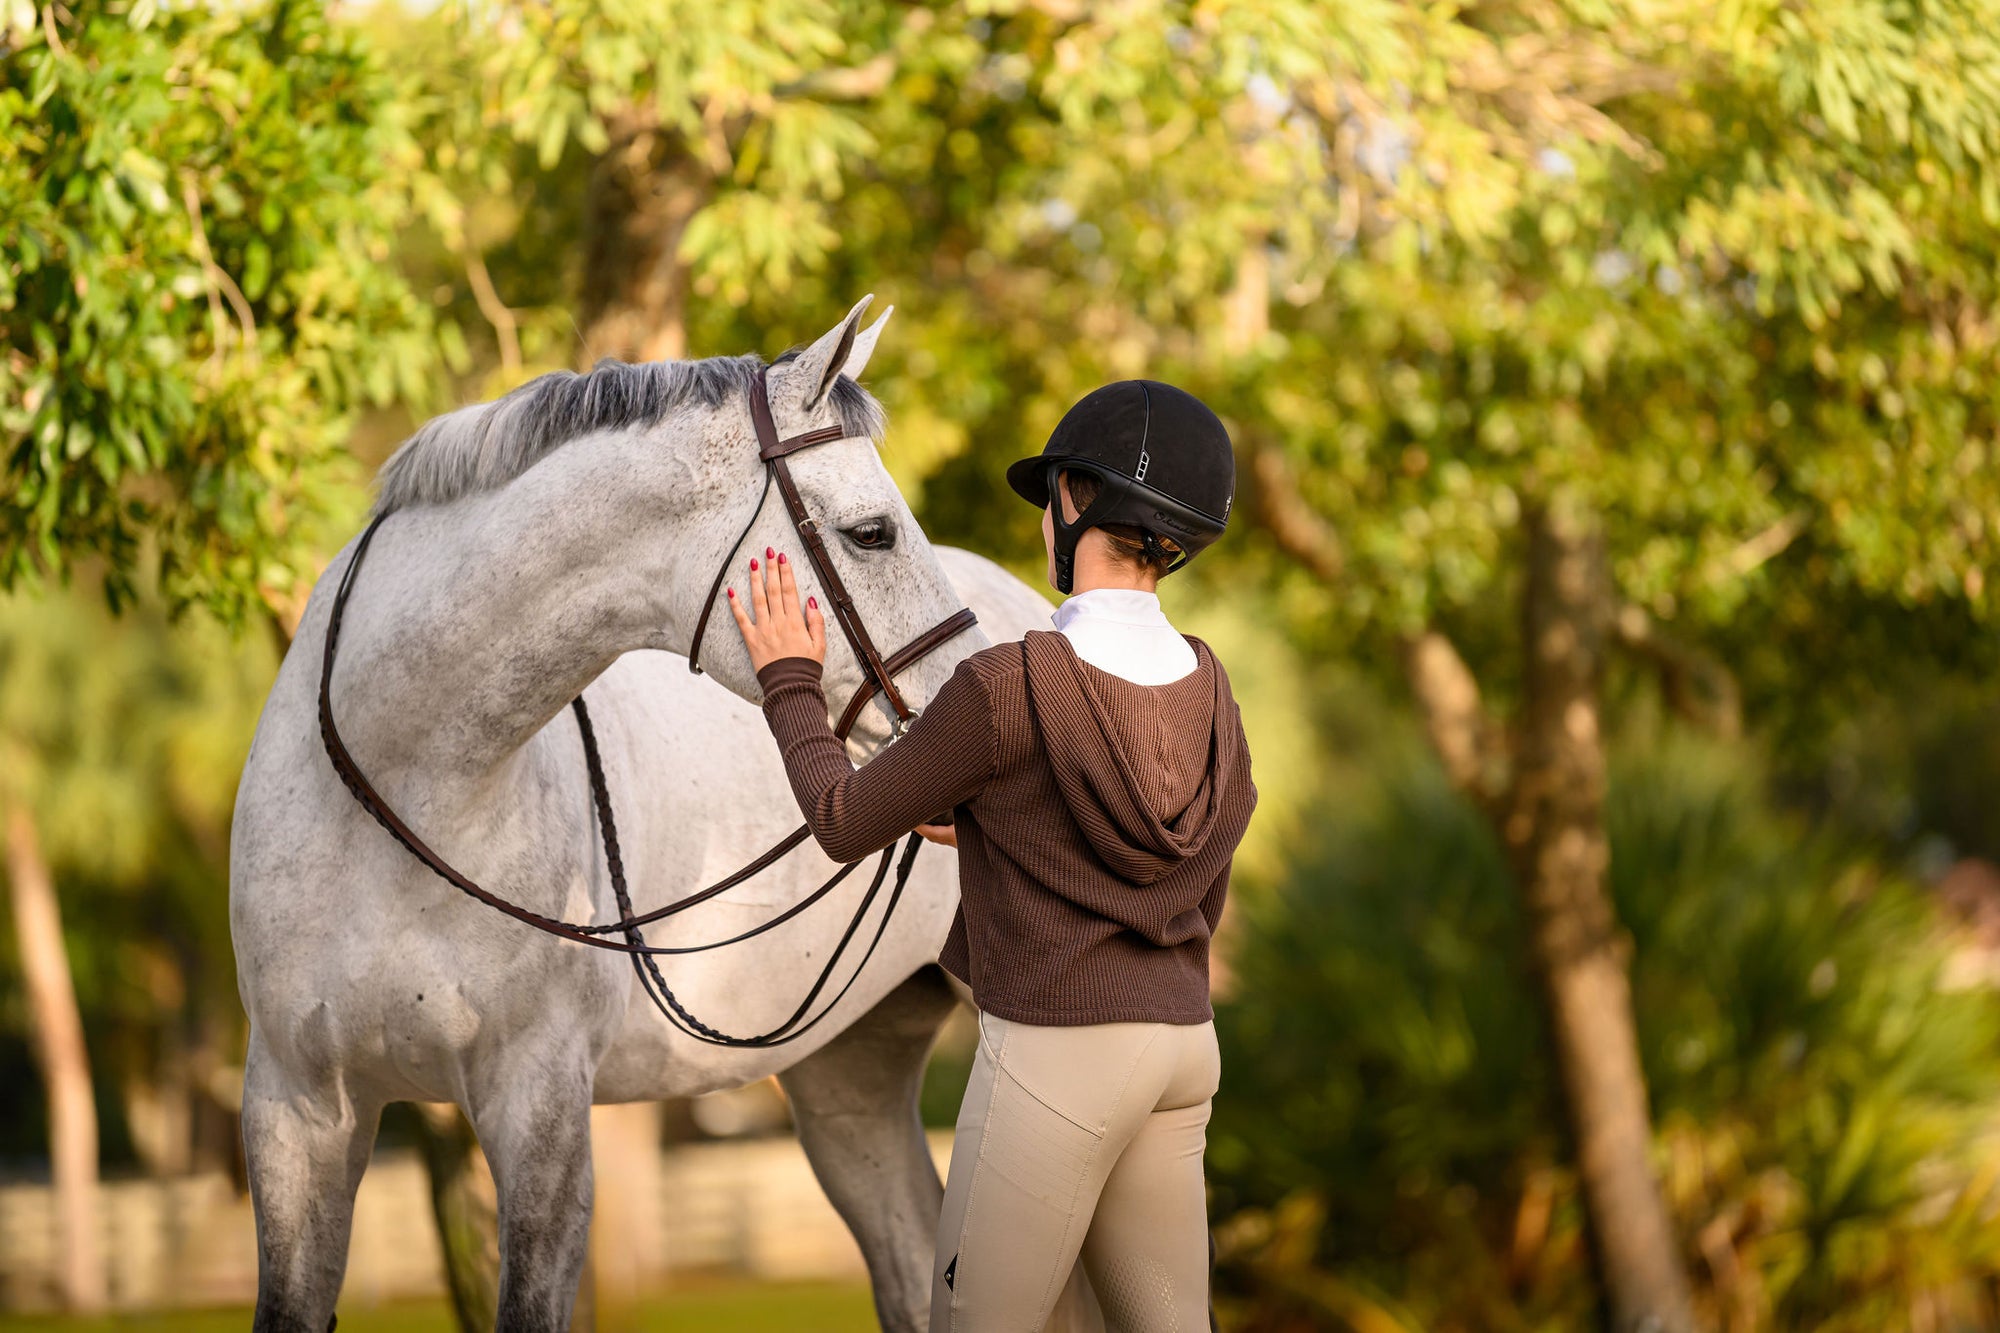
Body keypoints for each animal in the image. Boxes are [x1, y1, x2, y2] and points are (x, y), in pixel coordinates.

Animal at [230, 304, 1080, 1328]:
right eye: (872, 532)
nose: (984, 705)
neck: (401, 794)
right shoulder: (296, 1112)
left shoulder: (540, 1108)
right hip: (850, 1080)